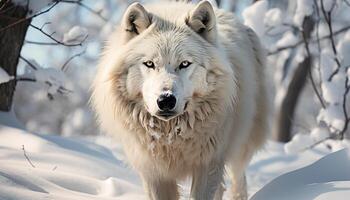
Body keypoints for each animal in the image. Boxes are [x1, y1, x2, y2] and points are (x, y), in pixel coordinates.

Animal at [91, 0, 270, 199]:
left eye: (184, 64)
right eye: (149, 64)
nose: (166, 100)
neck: (170, 137)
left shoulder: (208, 164)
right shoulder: (153, 172)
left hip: (241, 144)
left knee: (238, 179)